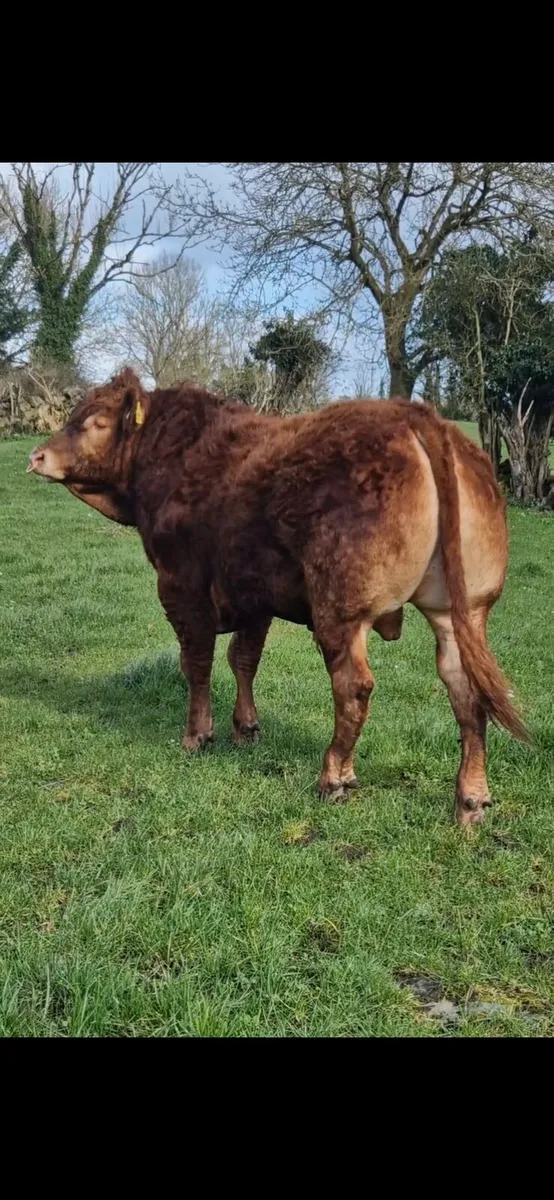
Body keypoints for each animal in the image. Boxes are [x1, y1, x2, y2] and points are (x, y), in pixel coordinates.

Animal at [27, 369, 528, 826]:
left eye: (94, 423)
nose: (37, 455)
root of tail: (418, 416)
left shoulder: (181, 586)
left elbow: (197, 663)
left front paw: (197, 736)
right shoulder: (253, 594)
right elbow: (243, 659)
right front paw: (245, 729)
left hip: (341, 610)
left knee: (354, 687)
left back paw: (335, 777)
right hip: (461, 610)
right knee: (466, 692)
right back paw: (470, 800)